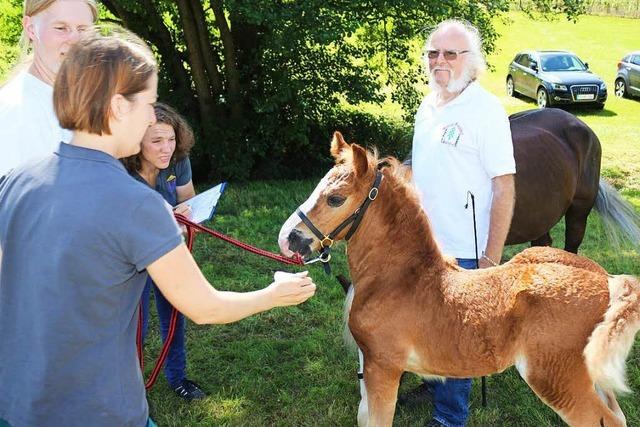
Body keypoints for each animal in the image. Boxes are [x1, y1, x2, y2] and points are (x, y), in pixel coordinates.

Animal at [278, 132, 640, 426]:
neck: (400, 279)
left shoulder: (383, 367)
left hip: (556, 377)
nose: (288, 239)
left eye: (335, 198)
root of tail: (609, 281)